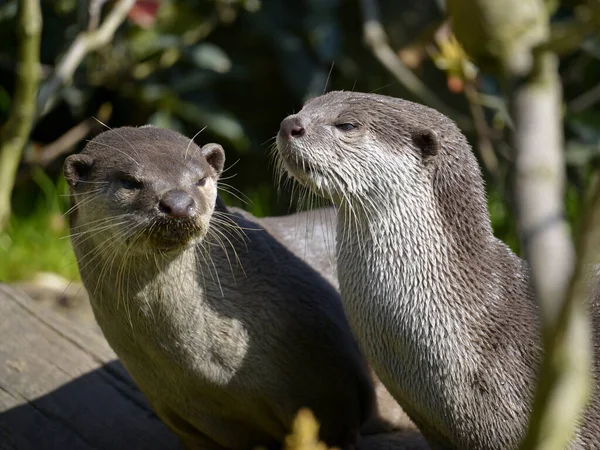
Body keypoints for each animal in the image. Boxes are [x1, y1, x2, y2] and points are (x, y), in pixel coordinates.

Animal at [62, 124, 426, 450]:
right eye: (130, 182)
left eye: (200, 180)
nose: (178, 203)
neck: (210, 368)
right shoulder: (181, 418)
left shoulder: (330, 386)